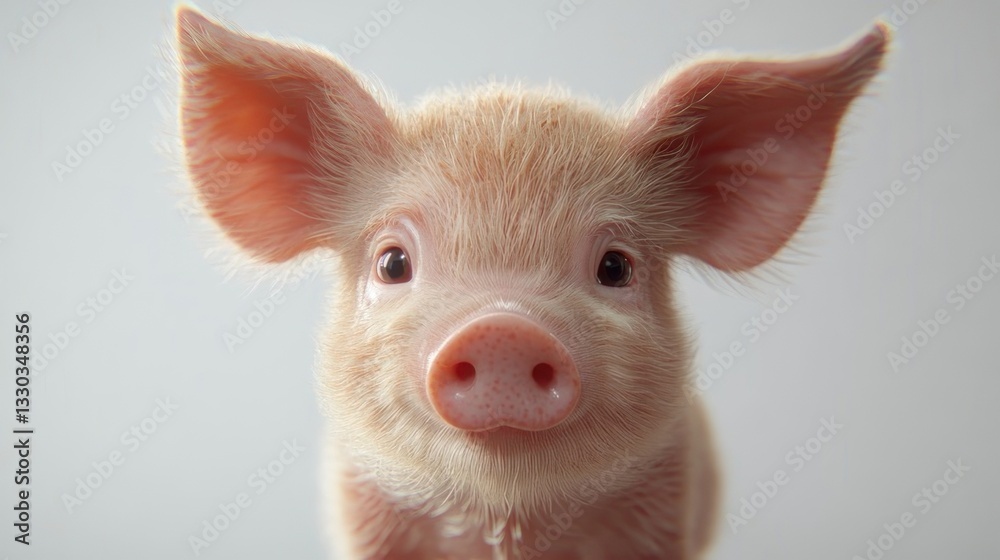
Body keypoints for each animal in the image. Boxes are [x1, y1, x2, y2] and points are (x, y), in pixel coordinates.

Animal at [175, 7, 888, 559]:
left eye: (615, 266)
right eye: (392, 262)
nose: (502, 329)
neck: (509, 524)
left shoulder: (666, 500)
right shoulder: (365, 508)